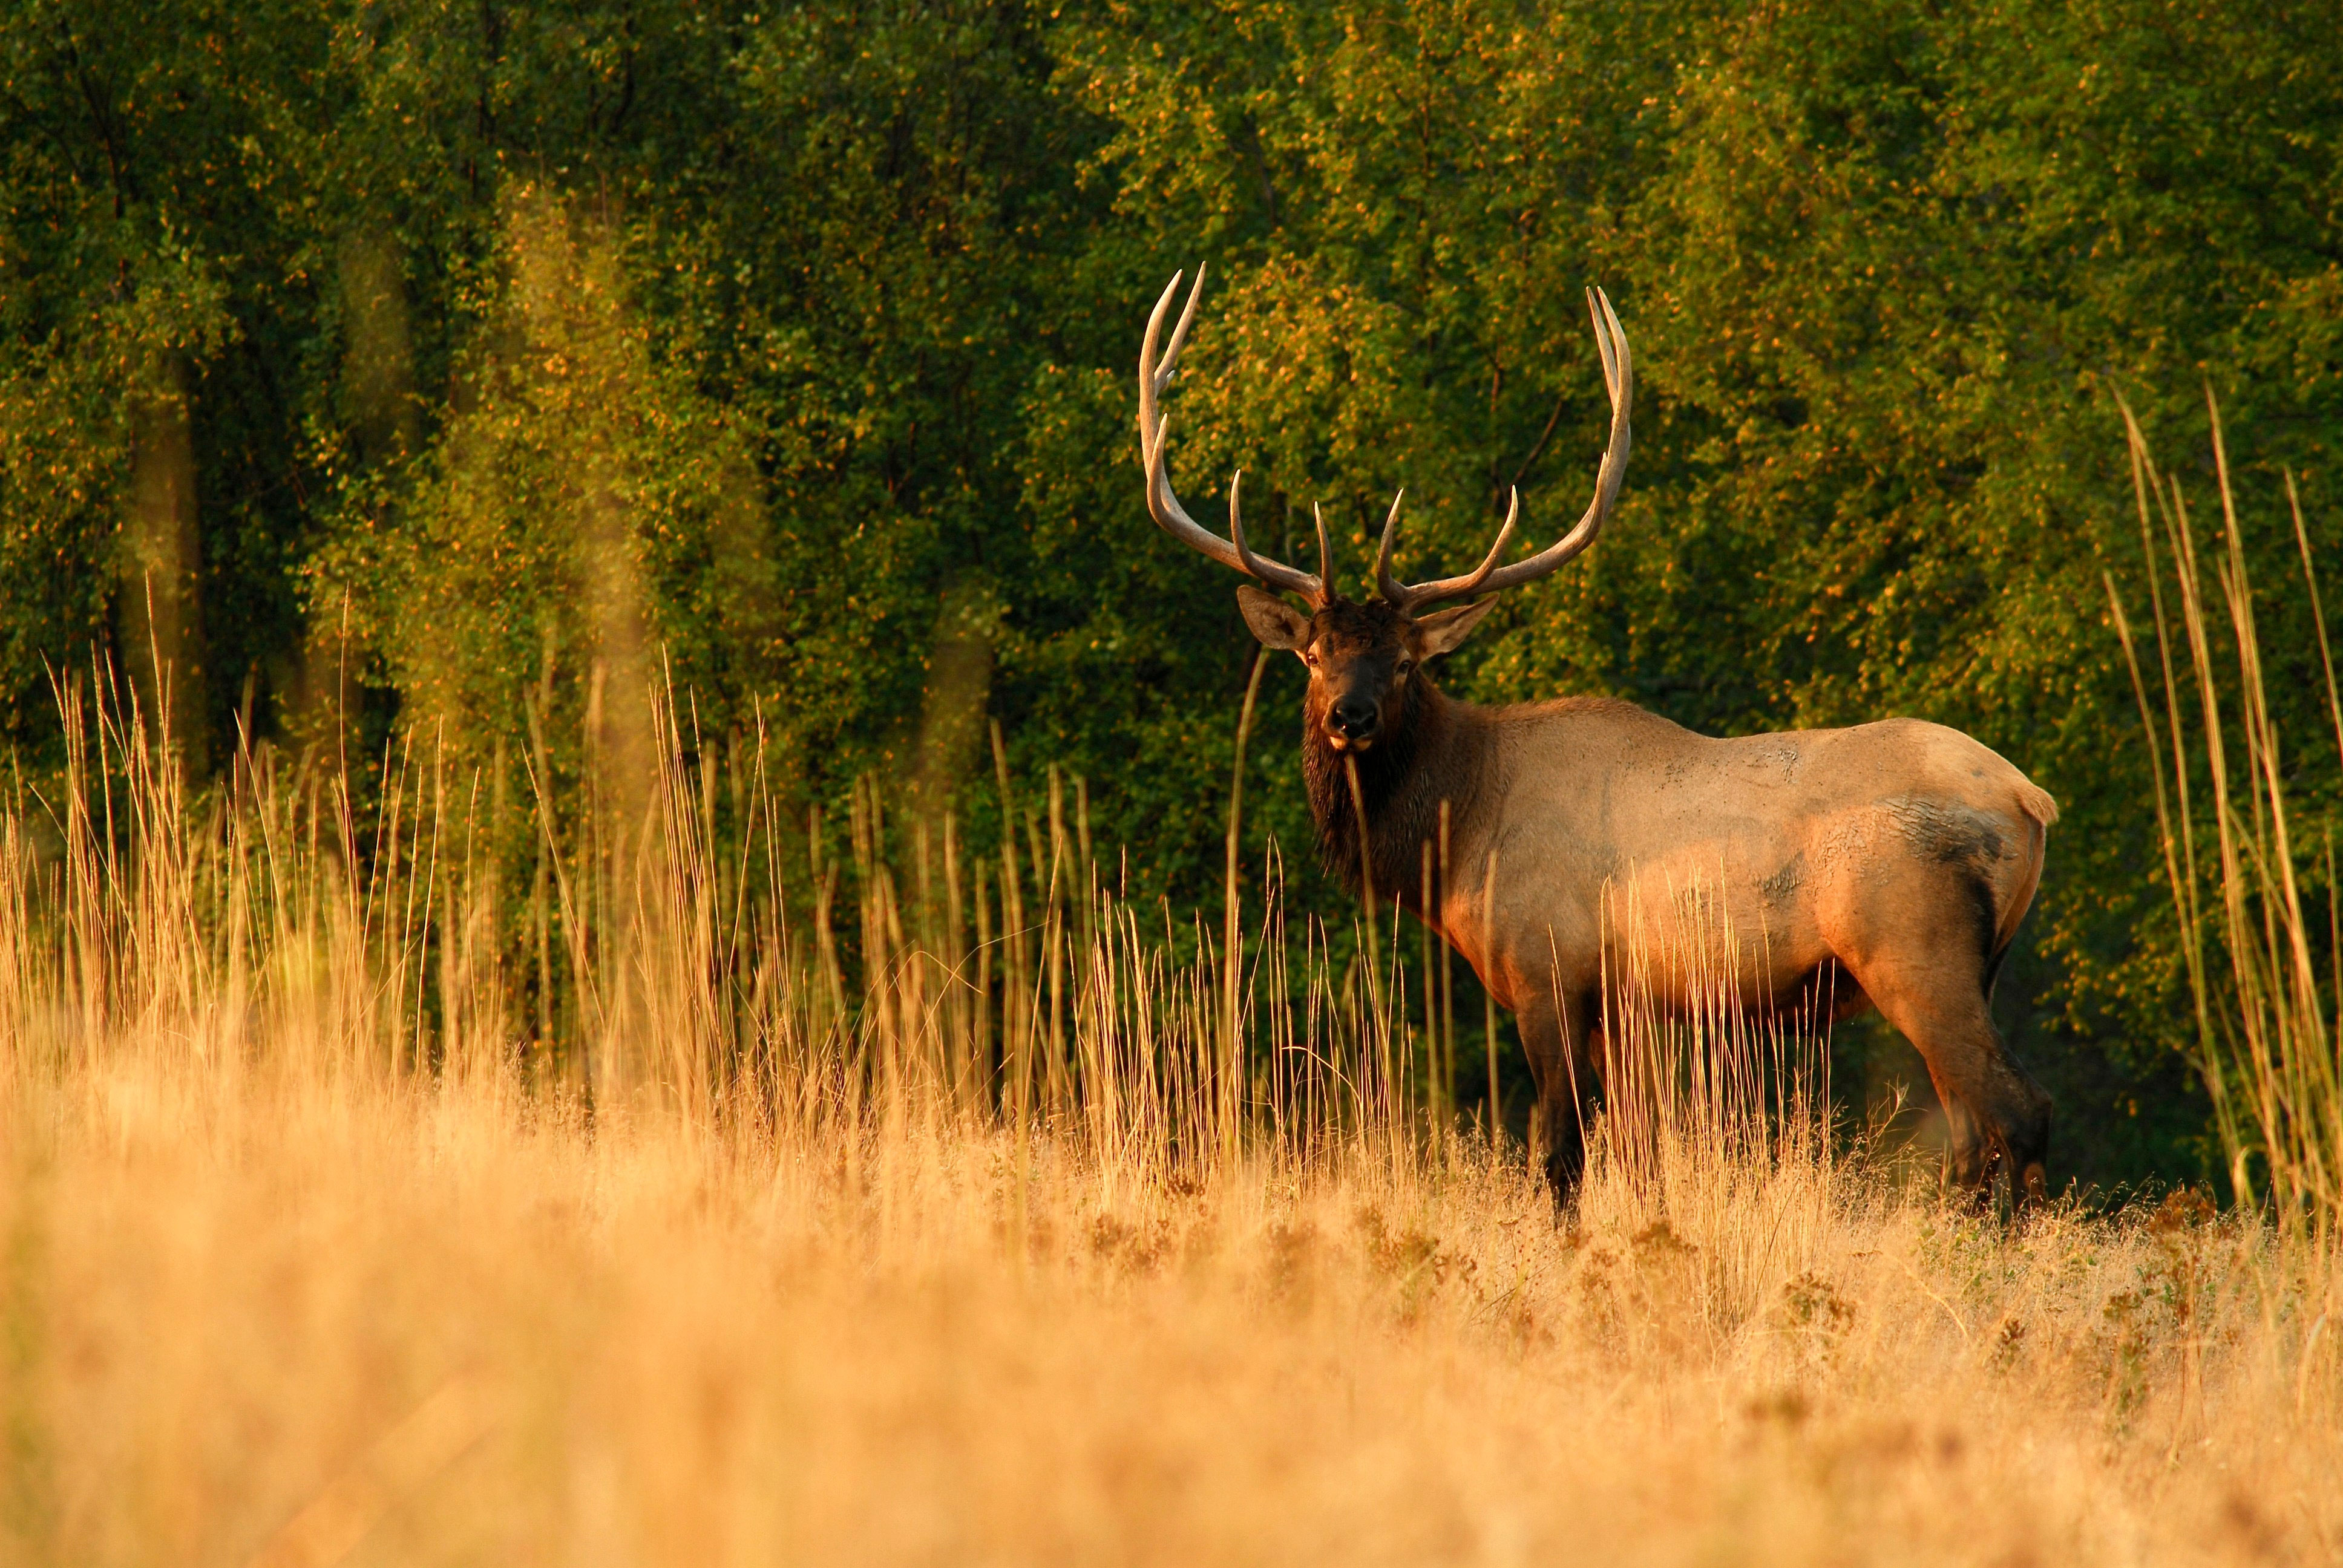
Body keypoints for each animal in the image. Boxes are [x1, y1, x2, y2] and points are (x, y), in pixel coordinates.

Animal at [1137, 266, 2058, 1208]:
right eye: (1315, 656)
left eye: (1403, 663)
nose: (1345, 718)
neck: (1458, 833)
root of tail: (2028, 800)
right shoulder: (1624, 1003)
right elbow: (1635, 1150)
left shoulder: (1546, 966)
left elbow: (1561, 1150)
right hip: (1972, 962)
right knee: (1976, 1131)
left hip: (1913, 945)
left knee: (2016, 1112)